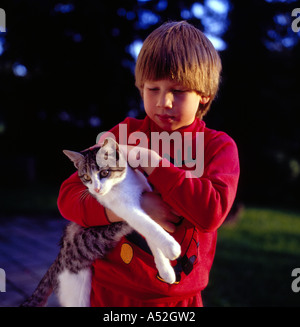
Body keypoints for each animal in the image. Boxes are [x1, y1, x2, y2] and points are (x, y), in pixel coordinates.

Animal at [21, 138, 182, 308]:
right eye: (86, 177)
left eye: (104, 172)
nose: (96, 189)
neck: (123, 184)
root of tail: (57, 262)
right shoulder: (124, 208)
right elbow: (148, 225)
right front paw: (171, 247)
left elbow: (151, 235)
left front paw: (166, 270)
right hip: (75, 289)